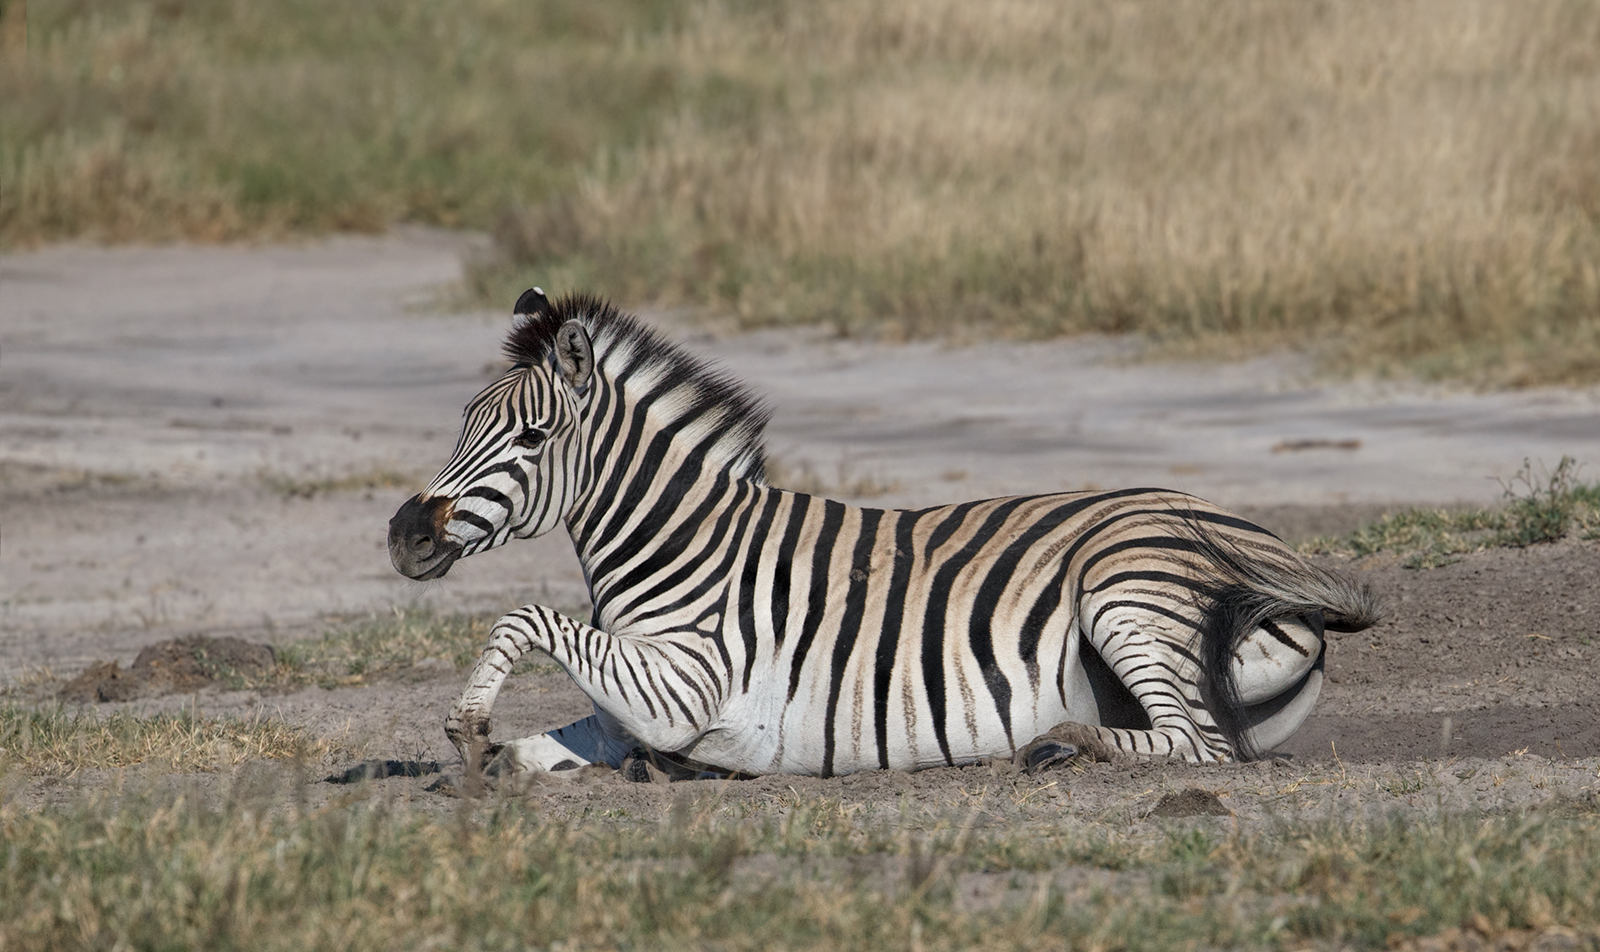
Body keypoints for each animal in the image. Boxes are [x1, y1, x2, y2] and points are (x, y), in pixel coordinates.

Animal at [389, 289, 1381, 779]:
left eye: (530, 438)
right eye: (463, 422)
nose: (404, 534)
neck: (676, 543)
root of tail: (1284, 562)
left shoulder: (688, 688)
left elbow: (523, 617)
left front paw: (466, 721)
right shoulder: (623, 711)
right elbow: (528, 752)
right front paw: (479, 753)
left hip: (1122, 589)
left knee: (1196, 745)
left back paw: (1064, 742)